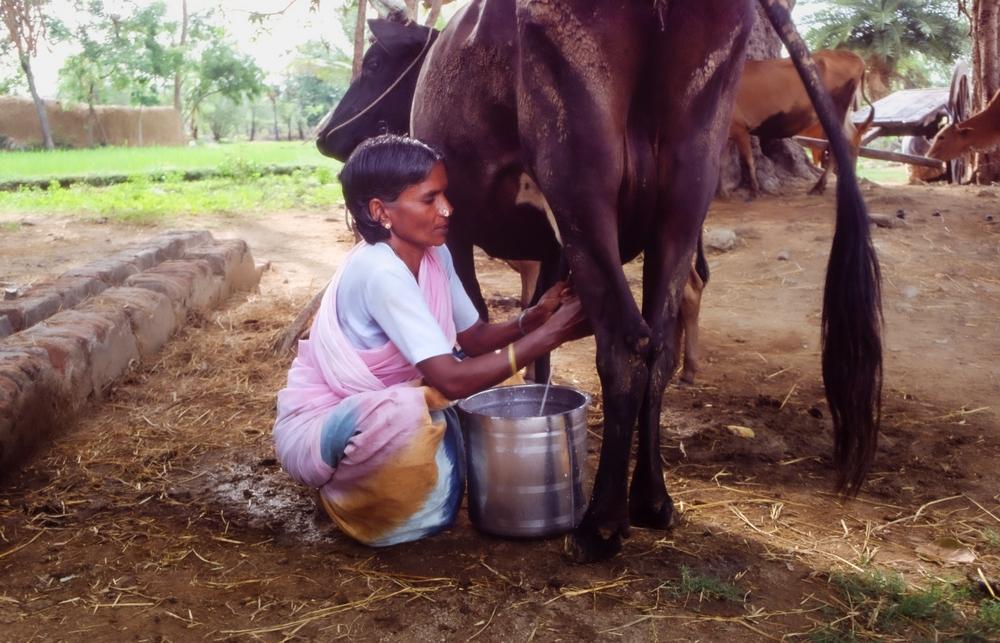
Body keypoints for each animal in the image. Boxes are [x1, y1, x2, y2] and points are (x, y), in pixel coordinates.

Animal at [731, 49, 870, 197]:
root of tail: (852, 56)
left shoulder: (739, 127)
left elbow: (747, 160)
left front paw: (754, 190)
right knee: (853, 137)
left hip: (836, 110)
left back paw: (819, 186)